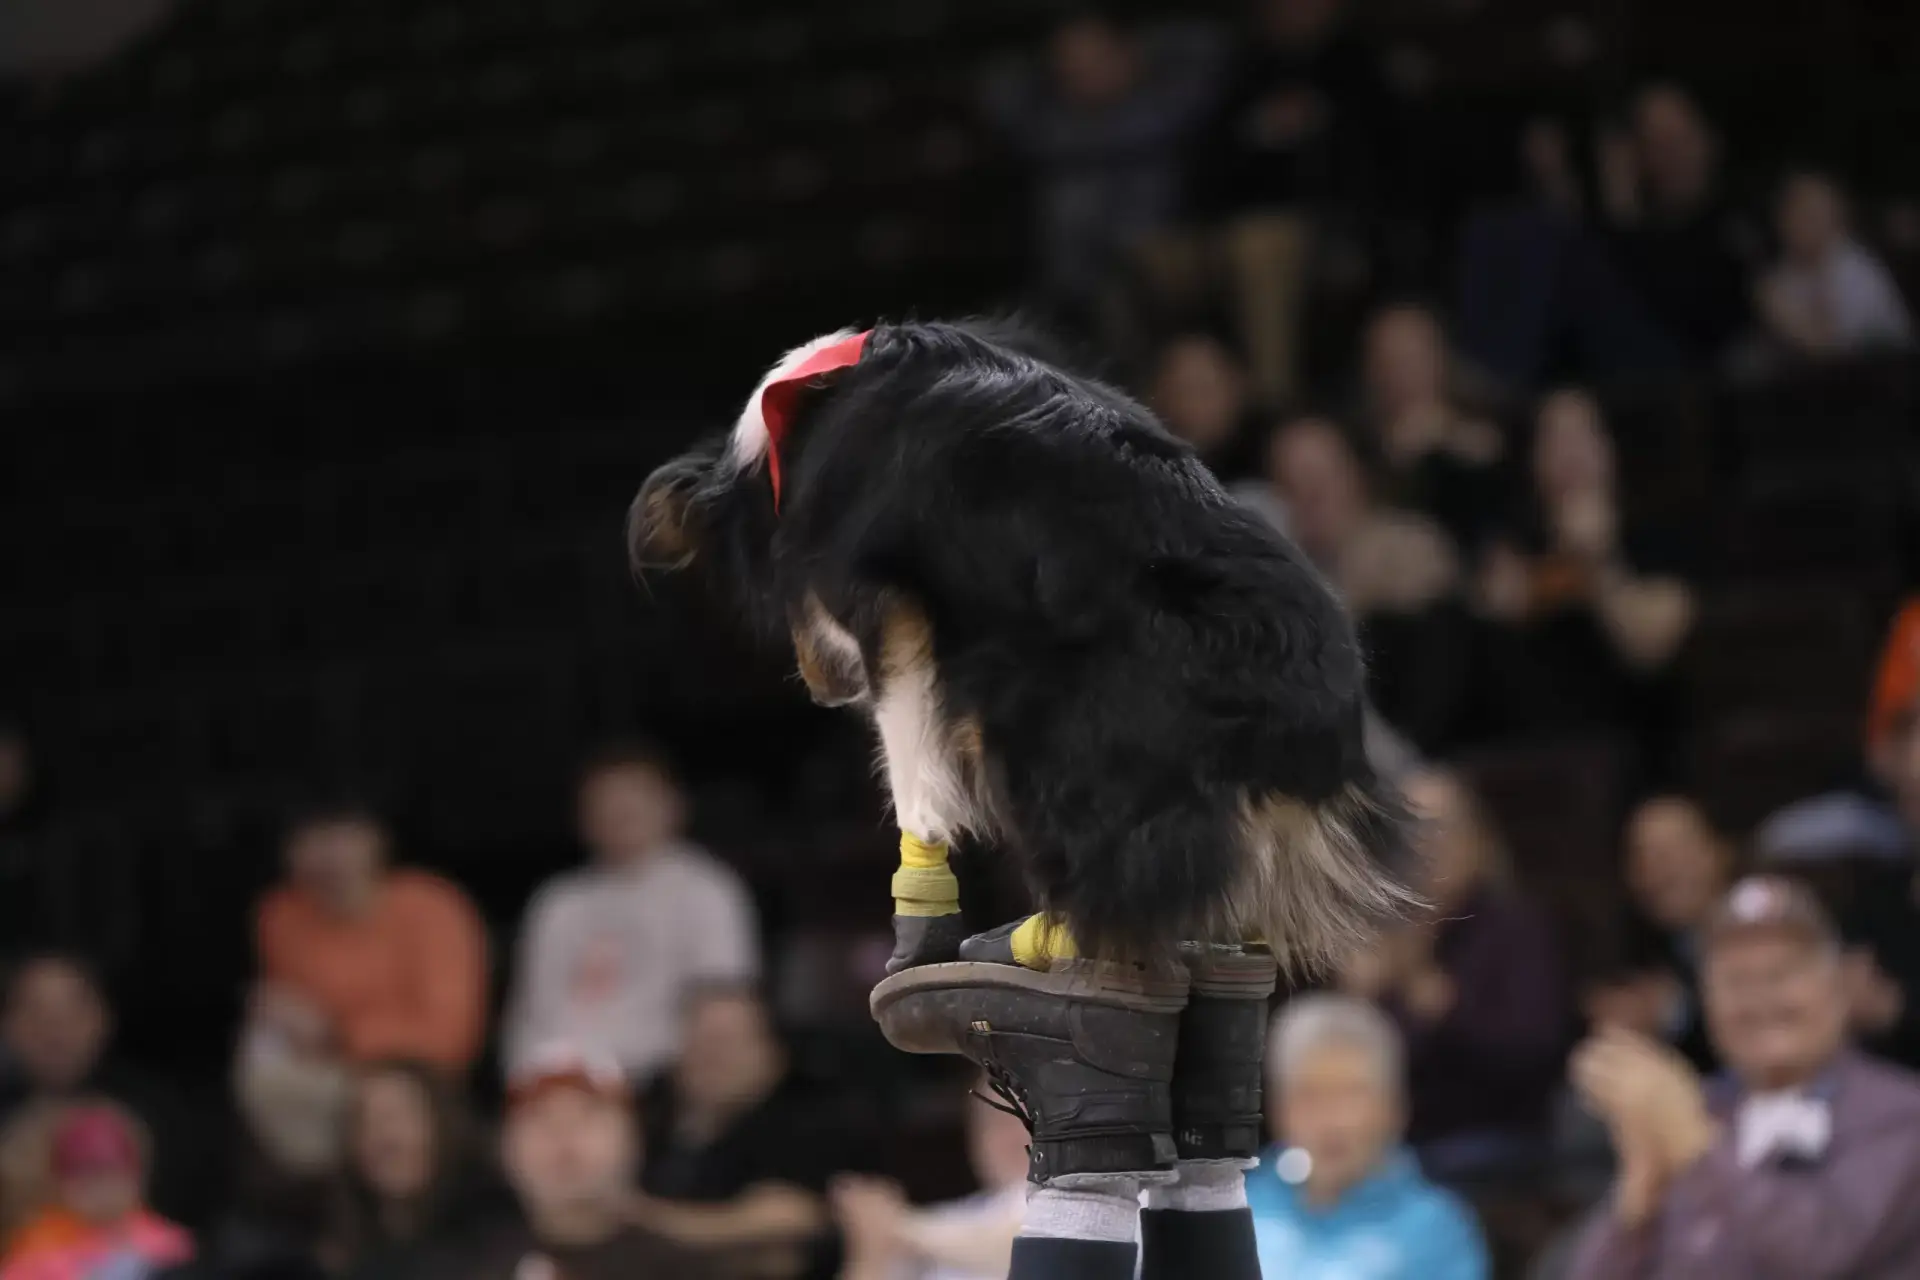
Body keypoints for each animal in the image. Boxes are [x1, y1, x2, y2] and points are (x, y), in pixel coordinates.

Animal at [630, 319, 1414, 968]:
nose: (826, 690)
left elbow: (910, 762)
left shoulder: (895, 608)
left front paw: (920, 913)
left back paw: (1034, 939)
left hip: (1038, 714)